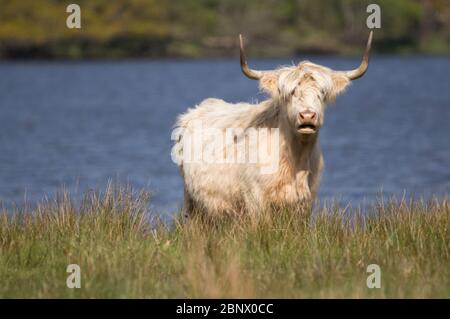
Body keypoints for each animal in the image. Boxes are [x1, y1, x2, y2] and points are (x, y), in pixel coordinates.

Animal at [173, 31, 372, 218]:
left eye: (322, 93)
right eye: (290, 93)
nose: (307, 116)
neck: (296, 159)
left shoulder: (305, 203)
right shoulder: (256, 200)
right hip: (192, 202)